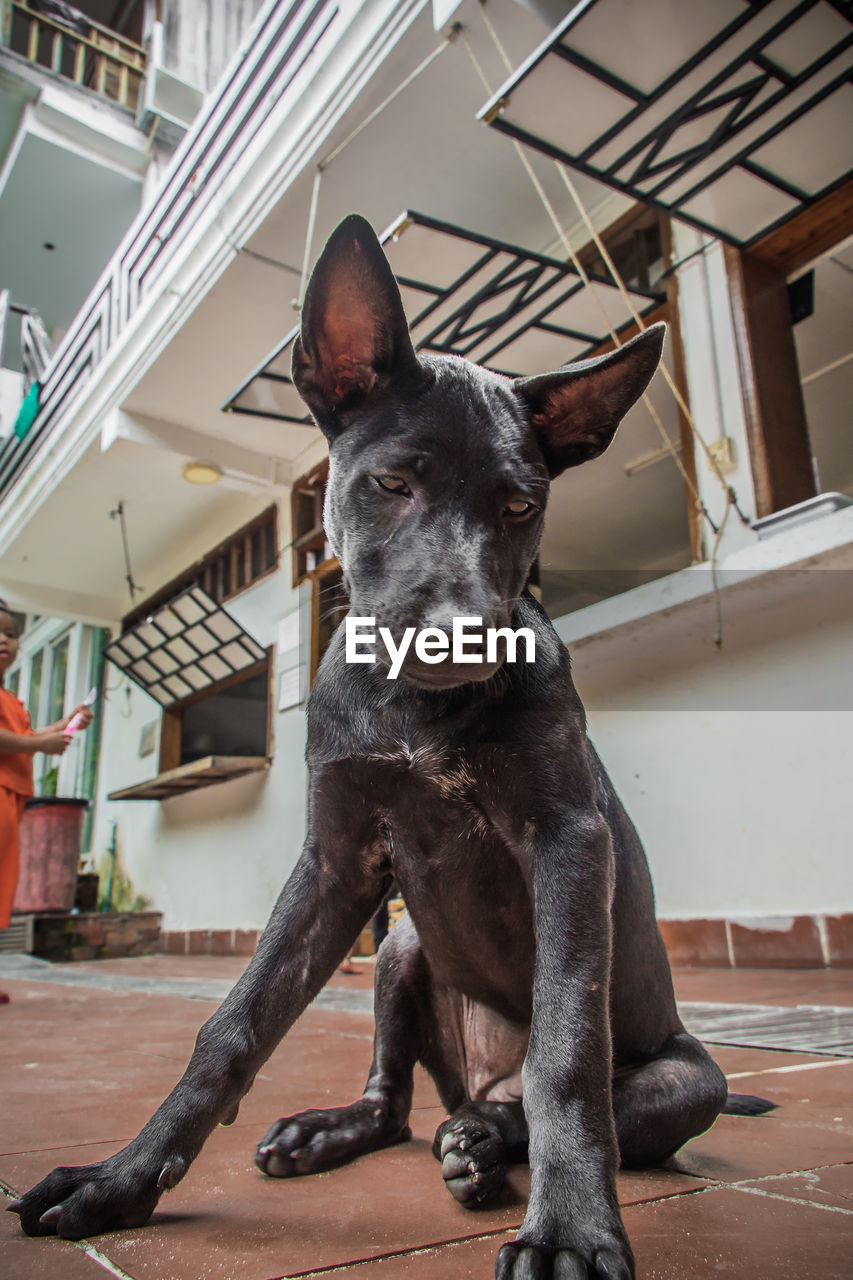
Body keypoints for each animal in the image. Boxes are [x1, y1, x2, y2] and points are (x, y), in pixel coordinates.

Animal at [11, 217, 758, 1280]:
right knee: (397, 1104)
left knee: (552, 1097)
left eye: (521, 505)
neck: (414, 709)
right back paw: (355, 1131)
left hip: (687, 1074)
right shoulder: (335, 864)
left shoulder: (569, 842)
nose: (462, 639)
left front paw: (571, 1229)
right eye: (392, 483)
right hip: (402, 944)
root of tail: (477, 1082)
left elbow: (567, 1054)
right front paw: (122, 1178)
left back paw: (486, 1143)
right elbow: (231, 1026)